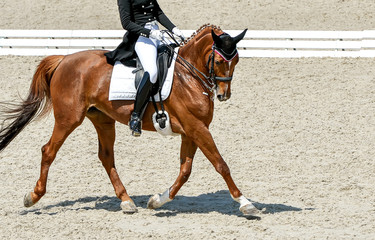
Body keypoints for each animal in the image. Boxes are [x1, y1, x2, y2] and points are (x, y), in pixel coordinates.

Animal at [0, 24, 258, 216]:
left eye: (236, 60)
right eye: (220, 60)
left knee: (106, 157)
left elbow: (185, 170)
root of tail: (64, 59)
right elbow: (221, 164)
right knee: (48, 151)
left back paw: (126, 200)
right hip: (68, 118)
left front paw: (157, 200)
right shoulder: (196, 127)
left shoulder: (192, 130)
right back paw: (32, 197)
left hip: (102, 119)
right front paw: (245, 203)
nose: (224, 95)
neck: (189, 76)